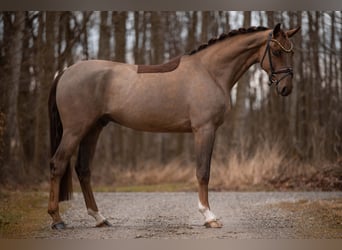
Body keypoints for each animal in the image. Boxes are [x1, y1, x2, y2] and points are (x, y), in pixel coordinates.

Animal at [47, 23, 300, 229]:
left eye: (292, 52)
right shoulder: (204, 130)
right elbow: (203, 172)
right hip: (75, 130)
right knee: (58, 164)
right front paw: (209, 217)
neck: (210, 71)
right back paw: (57, 219)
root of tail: (65, 71)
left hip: (93, 128)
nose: (286, 88)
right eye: (276, 51)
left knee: (83, 169)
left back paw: (99, 218)